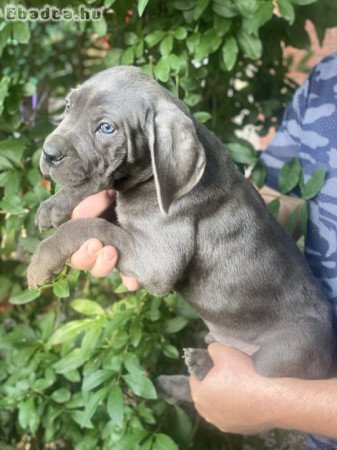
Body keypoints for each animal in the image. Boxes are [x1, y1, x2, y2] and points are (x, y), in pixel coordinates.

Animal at [28, 65, 334, 402]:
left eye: (106, 128)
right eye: (68, 105)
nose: (48, 153)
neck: (148, 178)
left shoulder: (157, 260)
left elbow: (91, 225)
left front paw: (41, 261)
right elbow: (101, 205)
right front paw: (56, 205)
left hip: (290, 349)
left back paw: (202, 364)